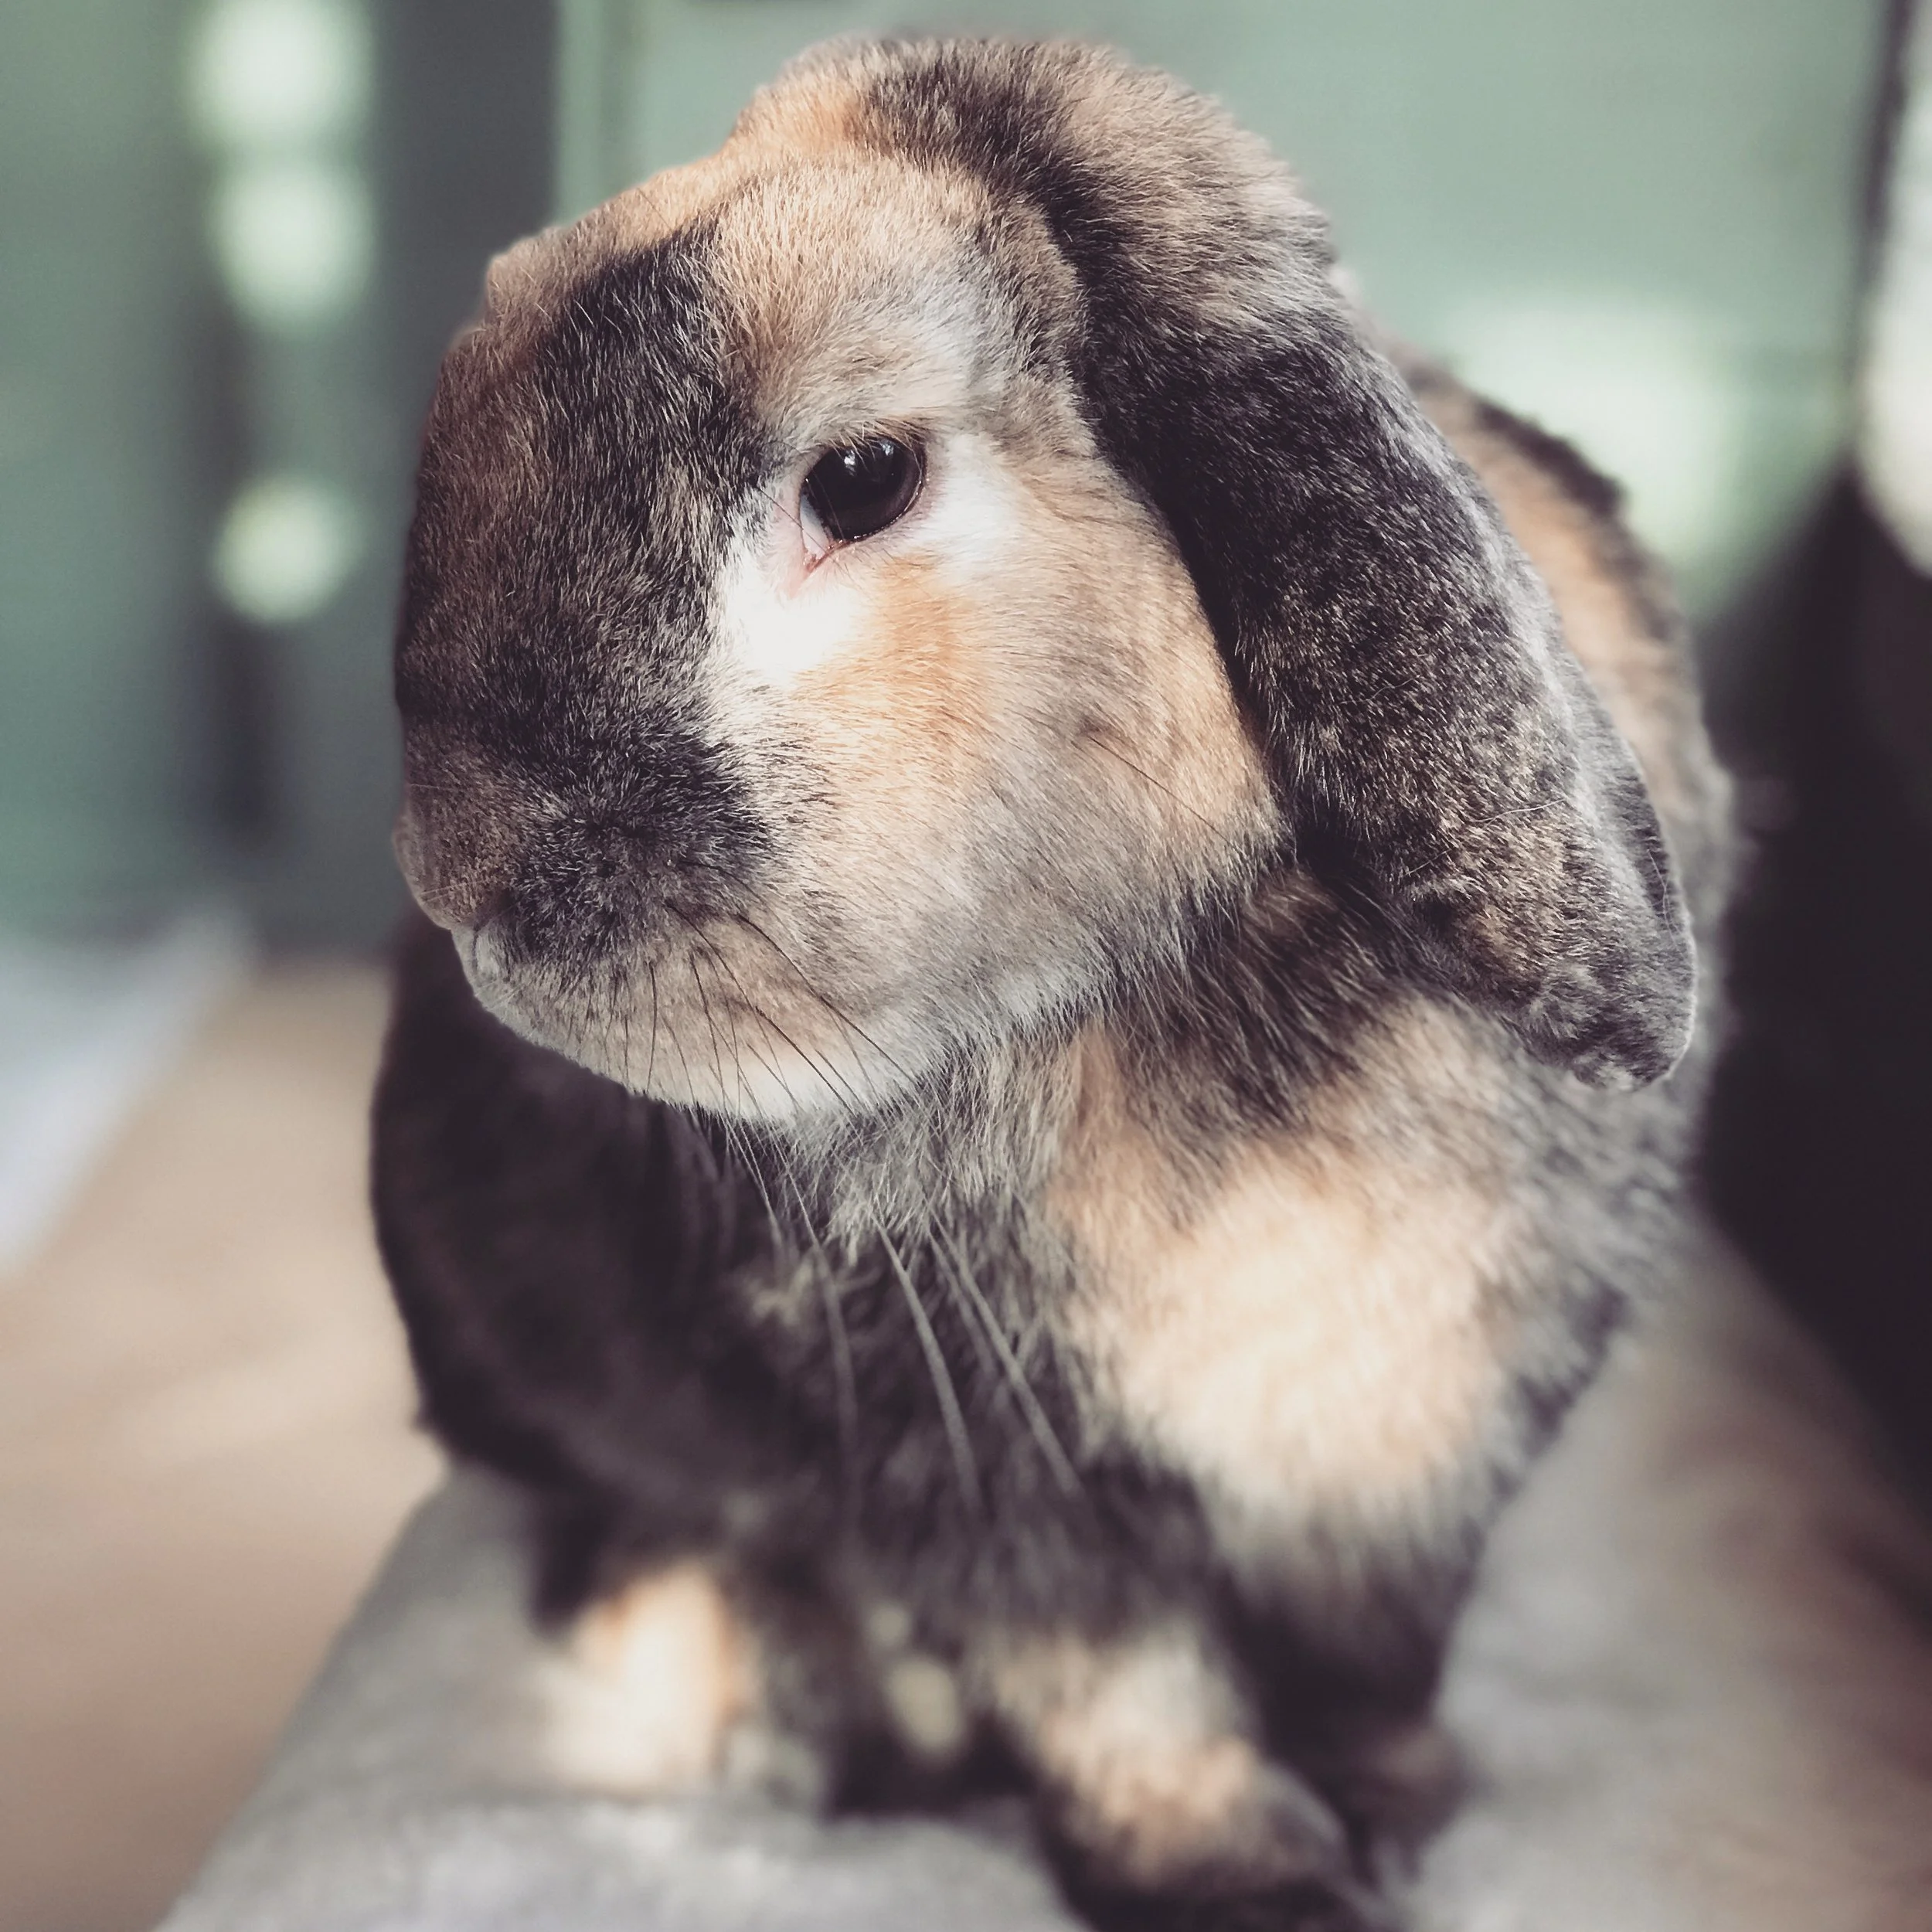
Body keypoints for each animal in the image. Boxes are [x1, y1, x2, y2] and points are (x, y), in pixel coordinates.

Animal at [375, 36, 1734, 1932]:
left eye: (864, 476)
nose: (459, 882)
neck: (1156, 990)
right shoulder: (987, 1486)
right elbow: (1121, 1687)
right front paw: (1251, 1884)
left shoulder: (1419, 1456)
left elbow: (1371, 1666)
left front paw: (1391, 1822)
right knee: (609, 1541)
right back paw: (795, 1709)